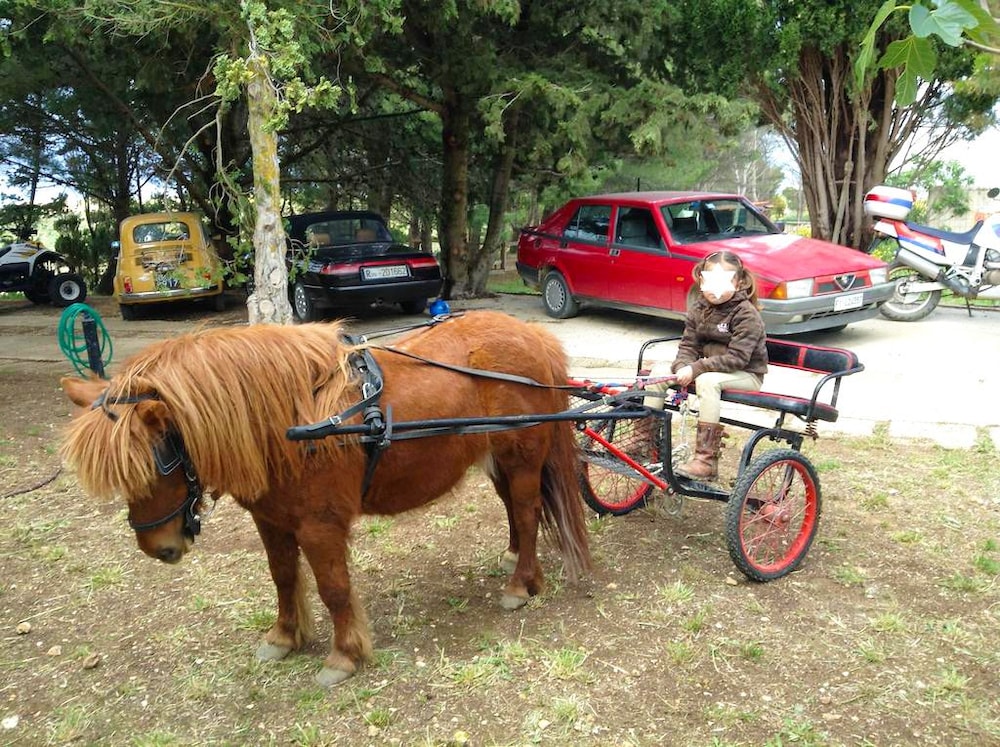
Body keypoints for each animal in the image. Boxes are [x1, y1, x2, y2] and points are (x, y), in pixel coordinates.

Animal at [60, 310, 591, 687]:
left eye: (158, 463)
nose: (159, 548)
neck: (291, 422)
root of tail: (533, 336)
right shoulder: (271, 521)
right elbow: (282, 577)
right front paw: (283, 636)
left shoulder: (320, 526)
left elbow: (333, 588)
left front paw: (344, 656)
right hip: (497, 459)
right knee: (515, 509)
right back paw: (517, 561)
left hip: (522, 460)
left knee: (527, 511)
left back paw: (520, 585)